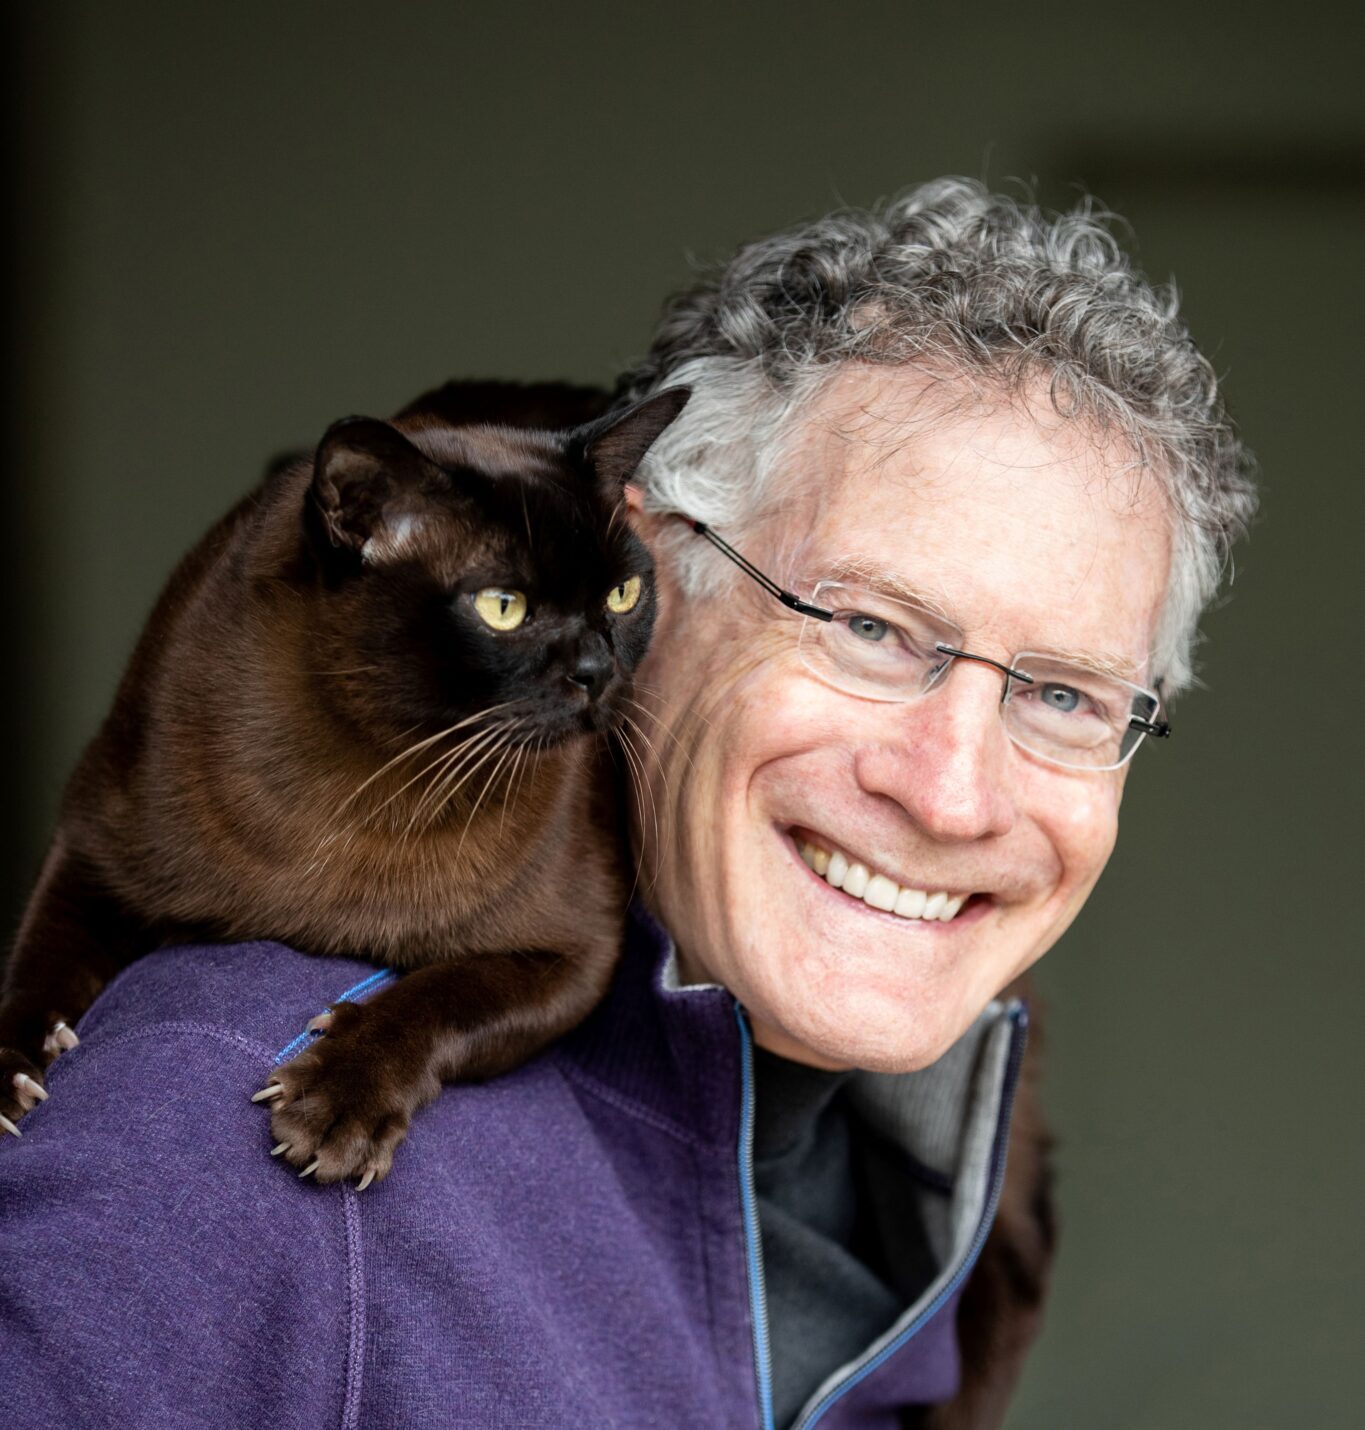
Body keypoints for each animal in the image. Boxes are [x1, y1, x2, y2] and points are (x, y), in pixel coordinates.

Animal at [0, 380, 683, 1184]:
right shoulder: (89, 850)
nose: (598, 674)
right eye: (503, 608)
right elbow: (31, 973)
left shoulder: (576, 953)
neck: (378, 772)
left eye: (623, 595)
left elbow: (444, 993)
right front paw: (9, 1082)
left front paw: (334, 1106)